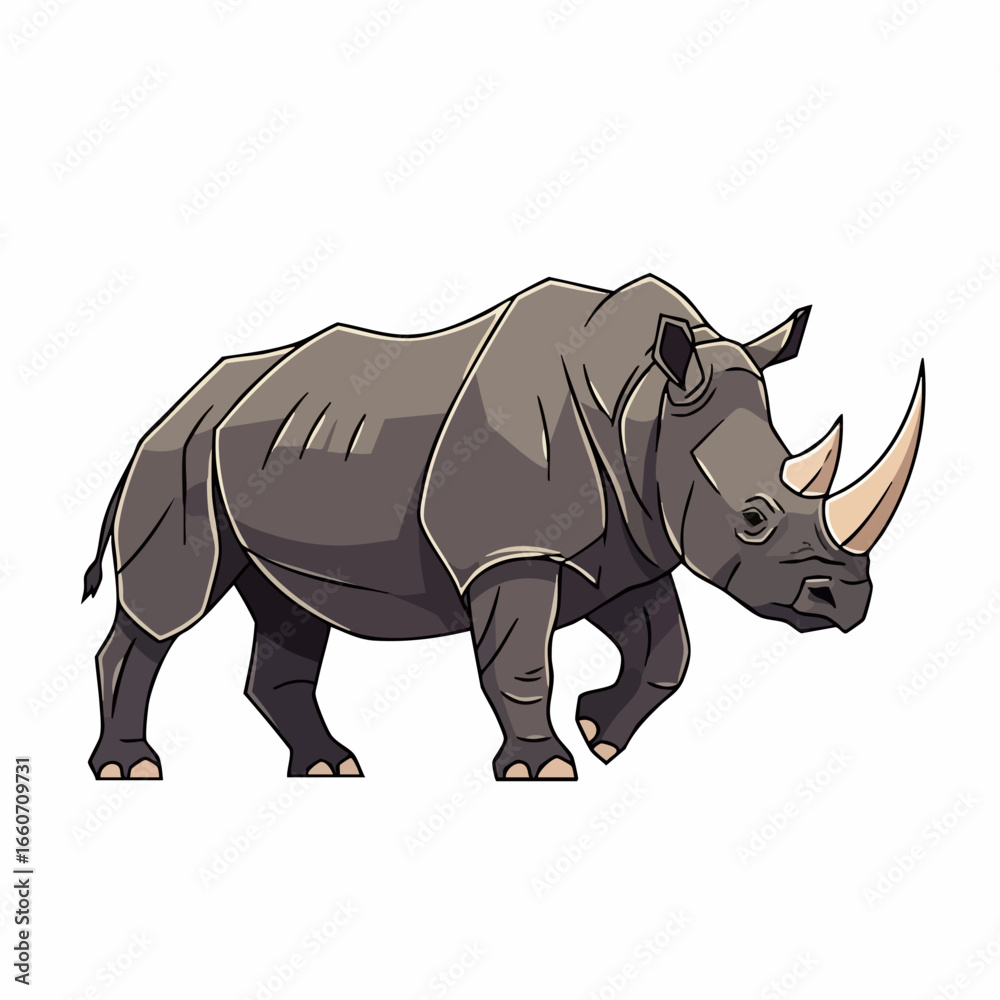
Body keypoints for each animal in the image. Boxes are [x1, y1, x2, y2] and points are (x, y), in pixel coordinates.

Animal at [82, 275, 924, 781]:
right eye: (753, 516)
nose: (846, 602)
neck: (641, 404)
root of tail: (178, 402)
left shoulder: (623, 546)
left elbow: (667, 652)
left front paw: (600, 733)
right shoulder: (513, 548)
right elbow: (521, 663)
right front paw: (543, 769)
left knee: (289, 609)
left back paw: (330, 770)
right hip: (178, 452)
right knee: (168, 611)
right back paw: (132, 770)